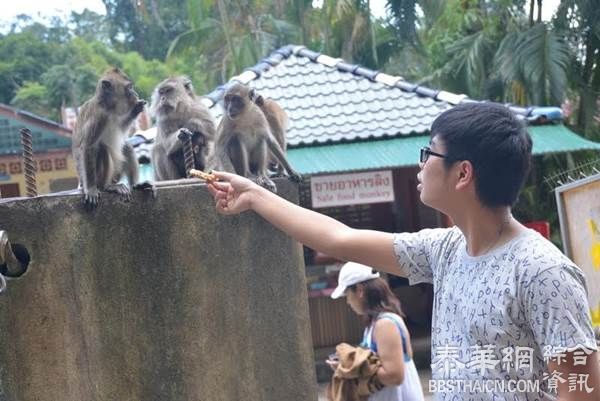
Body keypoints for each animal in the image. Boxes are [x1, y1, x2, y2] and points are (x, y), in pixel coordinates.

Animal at [72, 67, 148, 208]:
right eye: (129, 87)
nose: (135, 93)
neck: (108, 107)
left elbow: (122, 128)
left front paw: (135, 109)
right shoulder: (98, 117)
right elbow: (88, 147)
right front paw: (91, 189)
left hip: (116, 173)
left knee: (126, 146)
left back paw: (135, 185)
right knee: (102, 148)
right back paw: (106, 187)